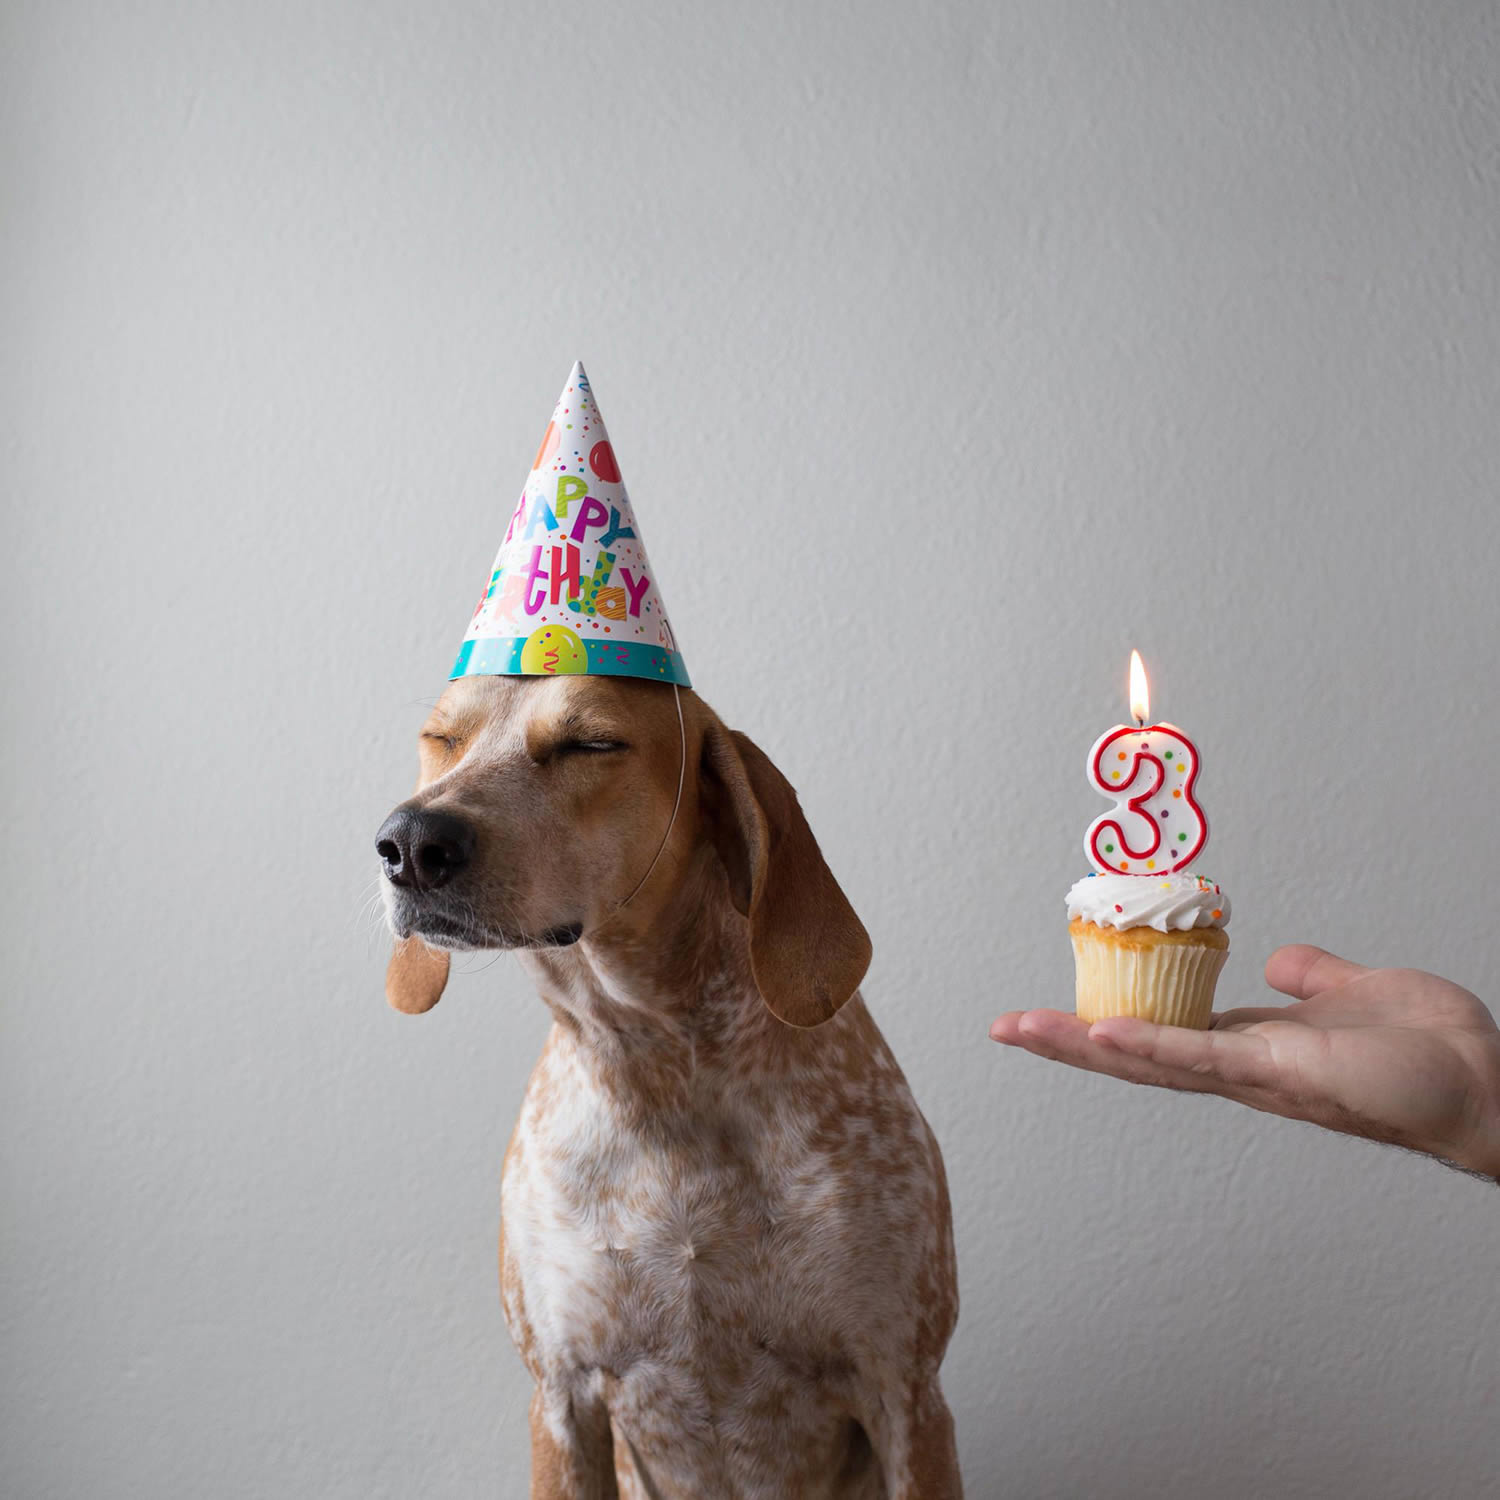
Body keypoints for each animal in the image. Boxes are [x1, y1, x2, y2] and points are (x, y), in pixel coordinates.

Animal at [378, 678, 960, 1500]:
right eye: (442, 739)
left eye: (591, 743)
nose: (410, 843)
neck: (653, 1070)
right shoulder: (561, 1399)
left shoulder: (906, 1392)